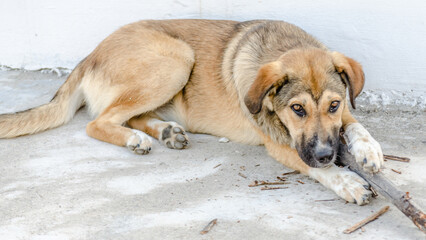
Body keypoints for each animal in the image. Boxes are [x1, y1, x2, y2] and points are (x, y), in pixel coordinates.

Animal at [0, 19, 384, 205]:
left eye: (333, 104)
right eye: (297, 109)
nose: (326, 154)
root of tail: (89, 55)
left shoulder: (339, 117)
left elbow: (355, 124)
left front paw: (370, 151)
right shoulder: (280, 144)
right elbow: (315, 167)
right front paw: (347, 181)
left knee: (126, 114)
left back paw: (165, 131)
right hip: (176, 59)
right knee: (97, 122)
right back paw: (136, 139)